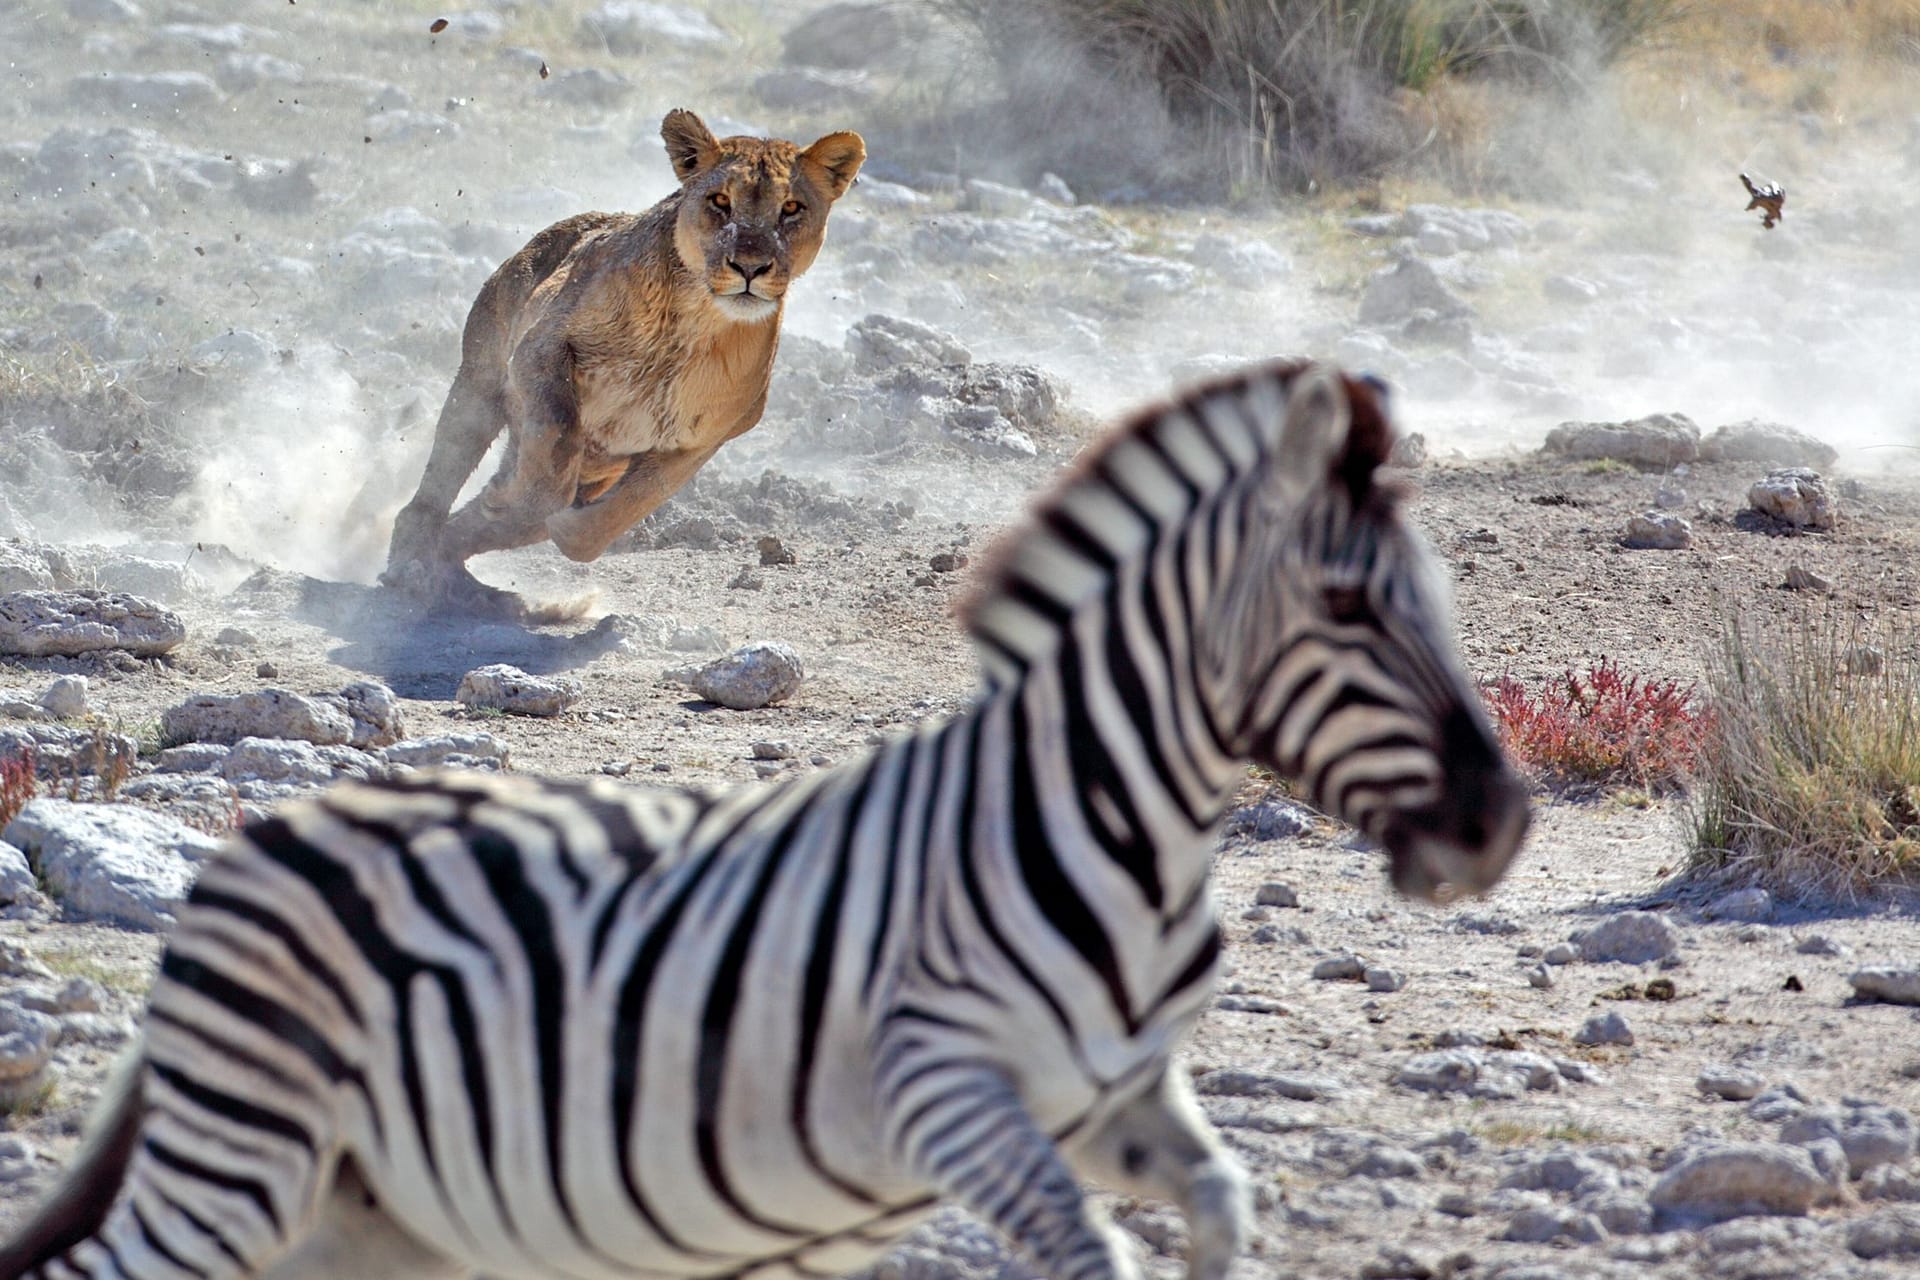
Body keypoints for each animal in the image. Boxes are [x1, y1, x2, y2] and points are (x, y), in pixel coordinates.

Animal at [0, 358, 1528, 1280]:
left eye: (1441, 597)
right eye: (1347, 607)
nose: (1500, 825)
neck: (1116, 834)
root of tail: (263, 841)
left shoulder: (1117, 1095)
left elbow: (1219, 1197)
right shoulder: (939, 1089)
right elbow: (1091, 1247)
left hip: (369, 1206)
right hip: (245, 1157)